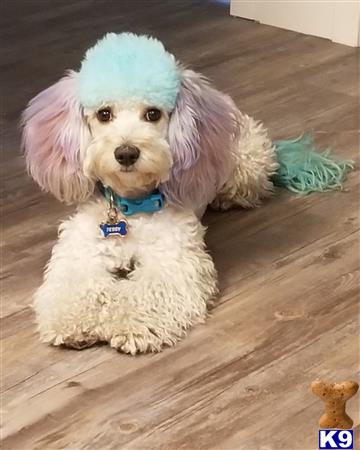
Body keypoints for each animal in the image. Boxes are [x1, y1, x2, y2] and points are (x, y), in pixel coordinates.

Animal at [21, 33, 350, 354]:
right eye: (104, 114)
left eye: (153, 114)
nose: (126, 153)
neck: (132, 205)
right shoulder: (79, 251)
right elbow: (71, 287)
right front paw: (74, 322)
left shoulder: (174, 261)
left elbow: (149, 292)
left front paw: (128, 325)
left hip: (245, 165)